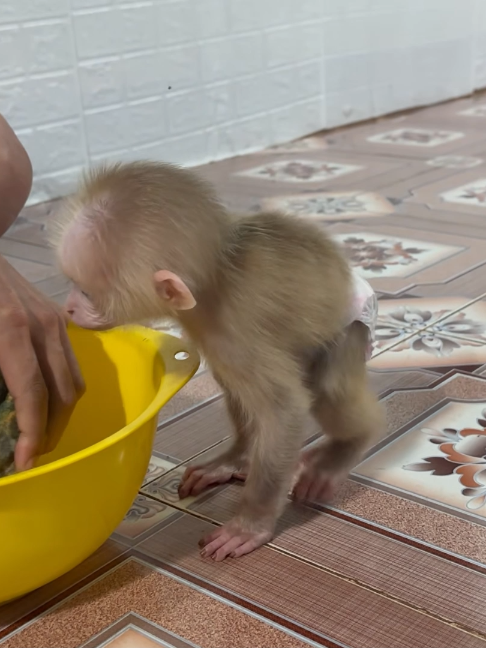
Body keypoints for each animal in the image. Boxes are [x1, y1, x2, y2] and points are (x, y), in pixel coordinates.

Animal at [50, 160, 385, 562]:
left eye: (85, 292)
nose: (68, 308)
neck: (213, 281)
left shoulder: (235, 329)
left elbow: (283, 410)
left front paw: (251, 523)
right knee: (236, 385)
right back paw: (237, 459)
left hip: (350, 331)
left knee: (328, 391)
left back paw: (345, 449)